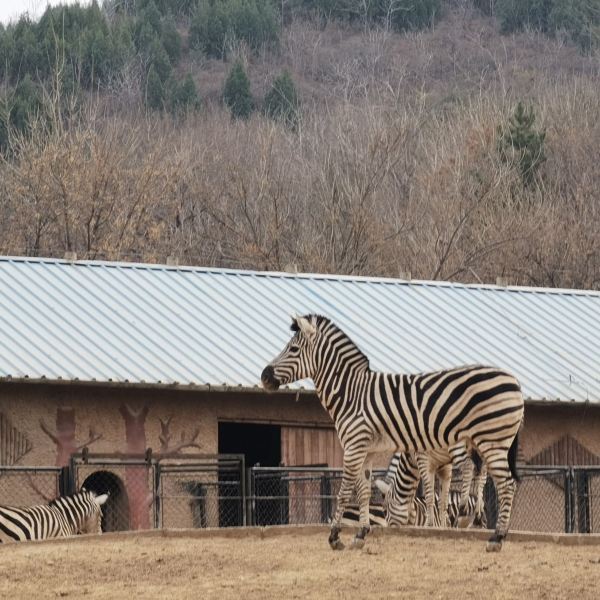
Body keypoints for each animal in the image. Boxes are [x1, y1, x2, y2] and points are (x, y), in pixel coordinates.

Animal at [260, 314, 524, 552]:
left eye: (293, 349)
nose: (264, 376)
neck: (351, 394)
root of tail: (515, 381)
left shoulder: (353, 446)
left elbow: (344, 491)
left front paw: (335, 537)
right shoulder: (366, 450)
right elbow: (364, 492)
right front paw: (360, 535)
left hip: (490, 441)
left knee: (506, 485)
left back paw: (497, 538)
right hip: (485, 442)